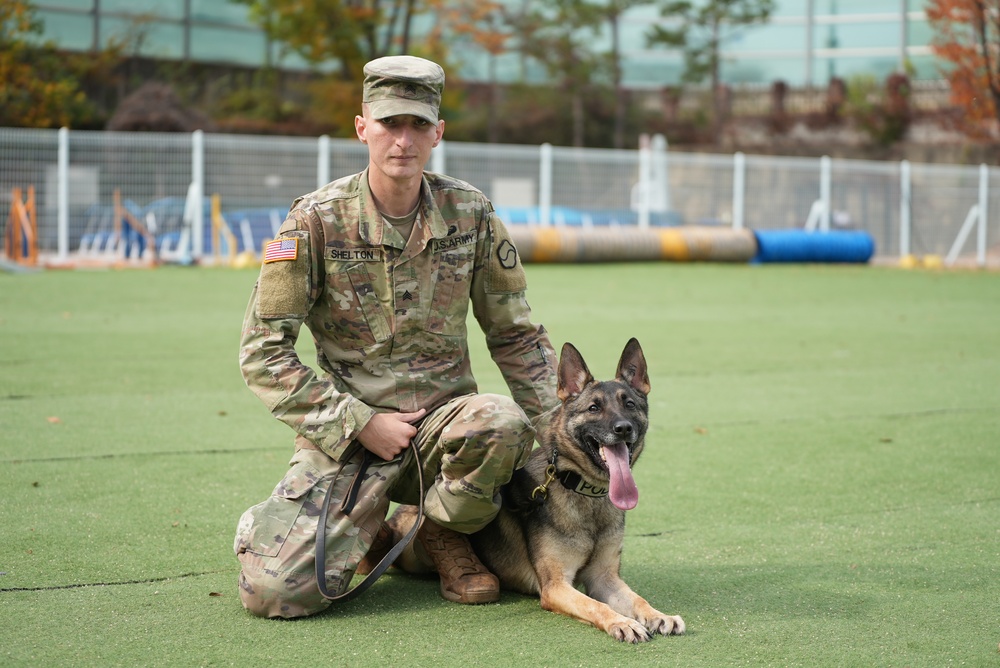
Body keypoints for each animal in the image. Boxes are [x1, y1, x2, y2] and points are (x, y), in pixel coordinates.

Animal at [386, 340, 684, 640]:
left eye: (630, 404)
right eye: (593, 408)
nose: (623, 428)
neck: (583, 491)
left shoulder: (604, 578)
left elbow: (637, 599)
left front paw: (659, 615)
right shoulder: (556, 586)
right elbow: (596, 605)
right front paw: (622, 622)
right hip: (411, 553)